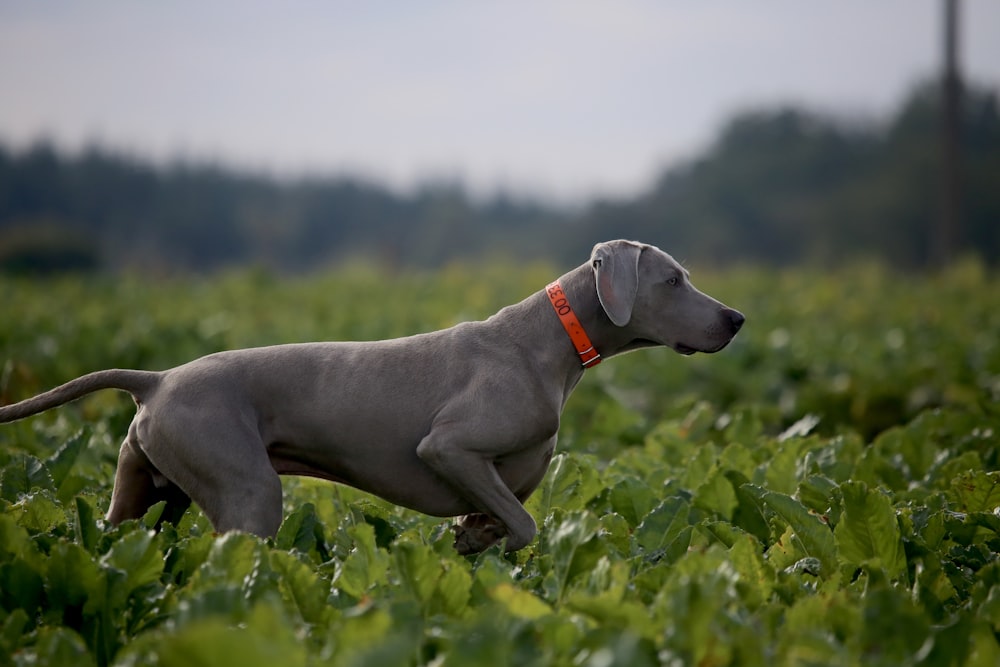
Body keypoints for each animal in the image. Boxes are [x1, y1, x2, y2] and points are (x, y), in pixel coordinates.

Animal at [0, 240, 744, 552]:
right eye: (674, 280)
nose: (737, 319)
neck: (551, 345)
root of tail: (155, 380)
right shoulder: (449, 447)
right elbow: (526, 523)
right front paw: (485, 540)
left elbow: (503, 516)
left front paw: (473, 537)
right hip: (248, 491)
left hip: (146, 496)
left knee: (113, 543)